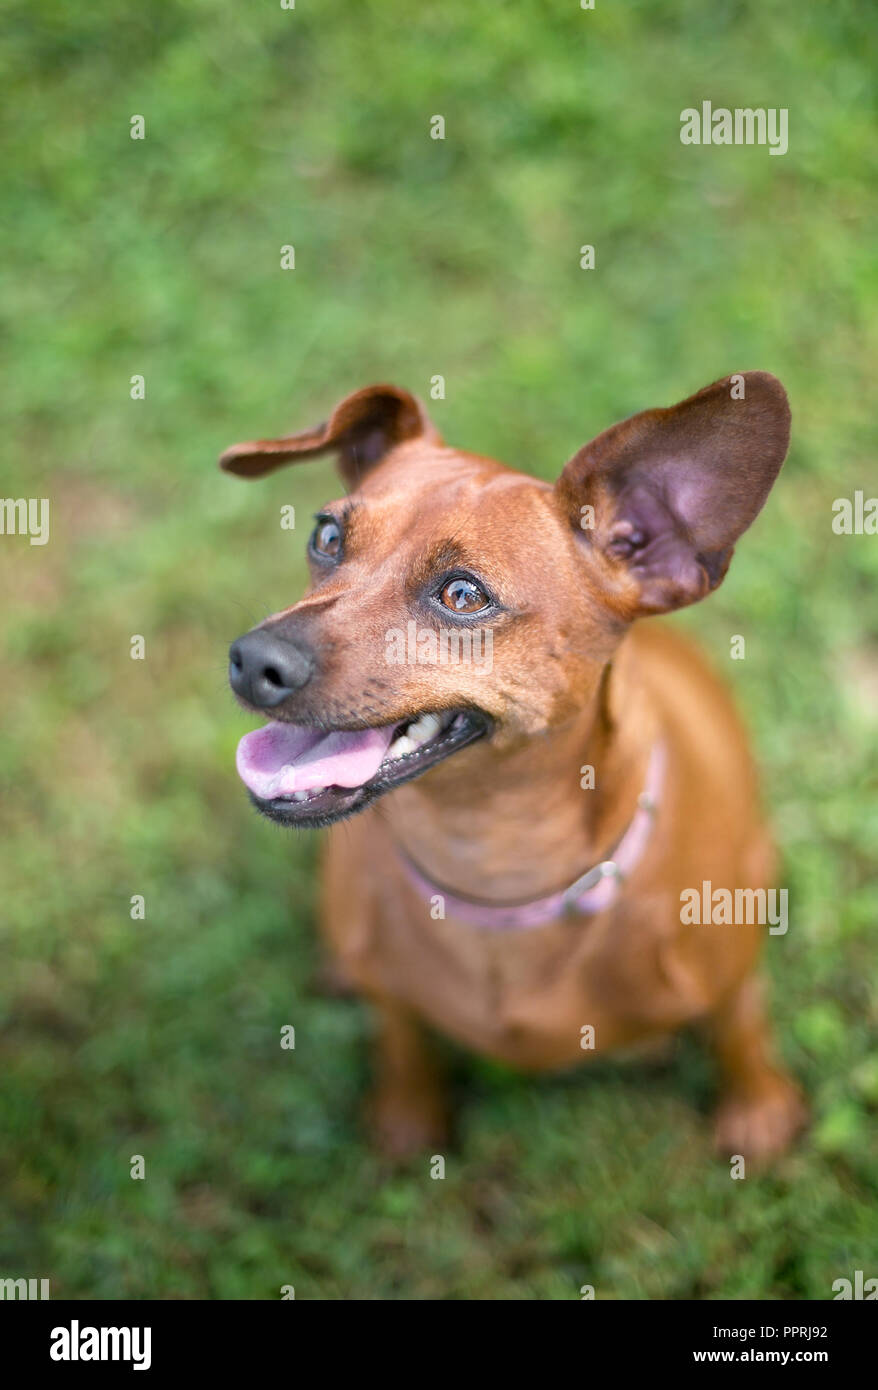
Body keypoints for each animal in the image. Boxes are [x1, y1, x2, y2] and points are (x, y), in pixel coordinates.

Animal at [222, 372, 805, 1162]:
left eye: (464, 595)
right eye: (327, 536)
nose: (252, 661)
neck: (491, 866)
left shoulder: (732, 977)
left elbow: (741, 1028)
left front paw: (758, 1107)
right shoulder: (397, 1003)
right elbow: (403, 1039)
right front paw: (407, 1114)